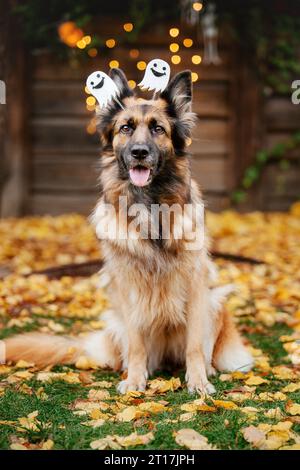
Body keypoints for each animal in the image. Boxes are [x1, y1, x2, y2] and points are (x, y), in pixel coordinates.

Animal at [5, 68, 252, 394]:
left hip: (216, 302)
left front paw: (198, 382)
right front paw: (135, 380)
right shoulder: (127, 287)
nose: (139, 152)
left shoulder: (197, 285)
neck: (150, 207)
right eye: (126, 128)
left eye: (158, 129)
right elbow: (136, 344)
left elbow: (195, 346)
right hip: (117, 320)